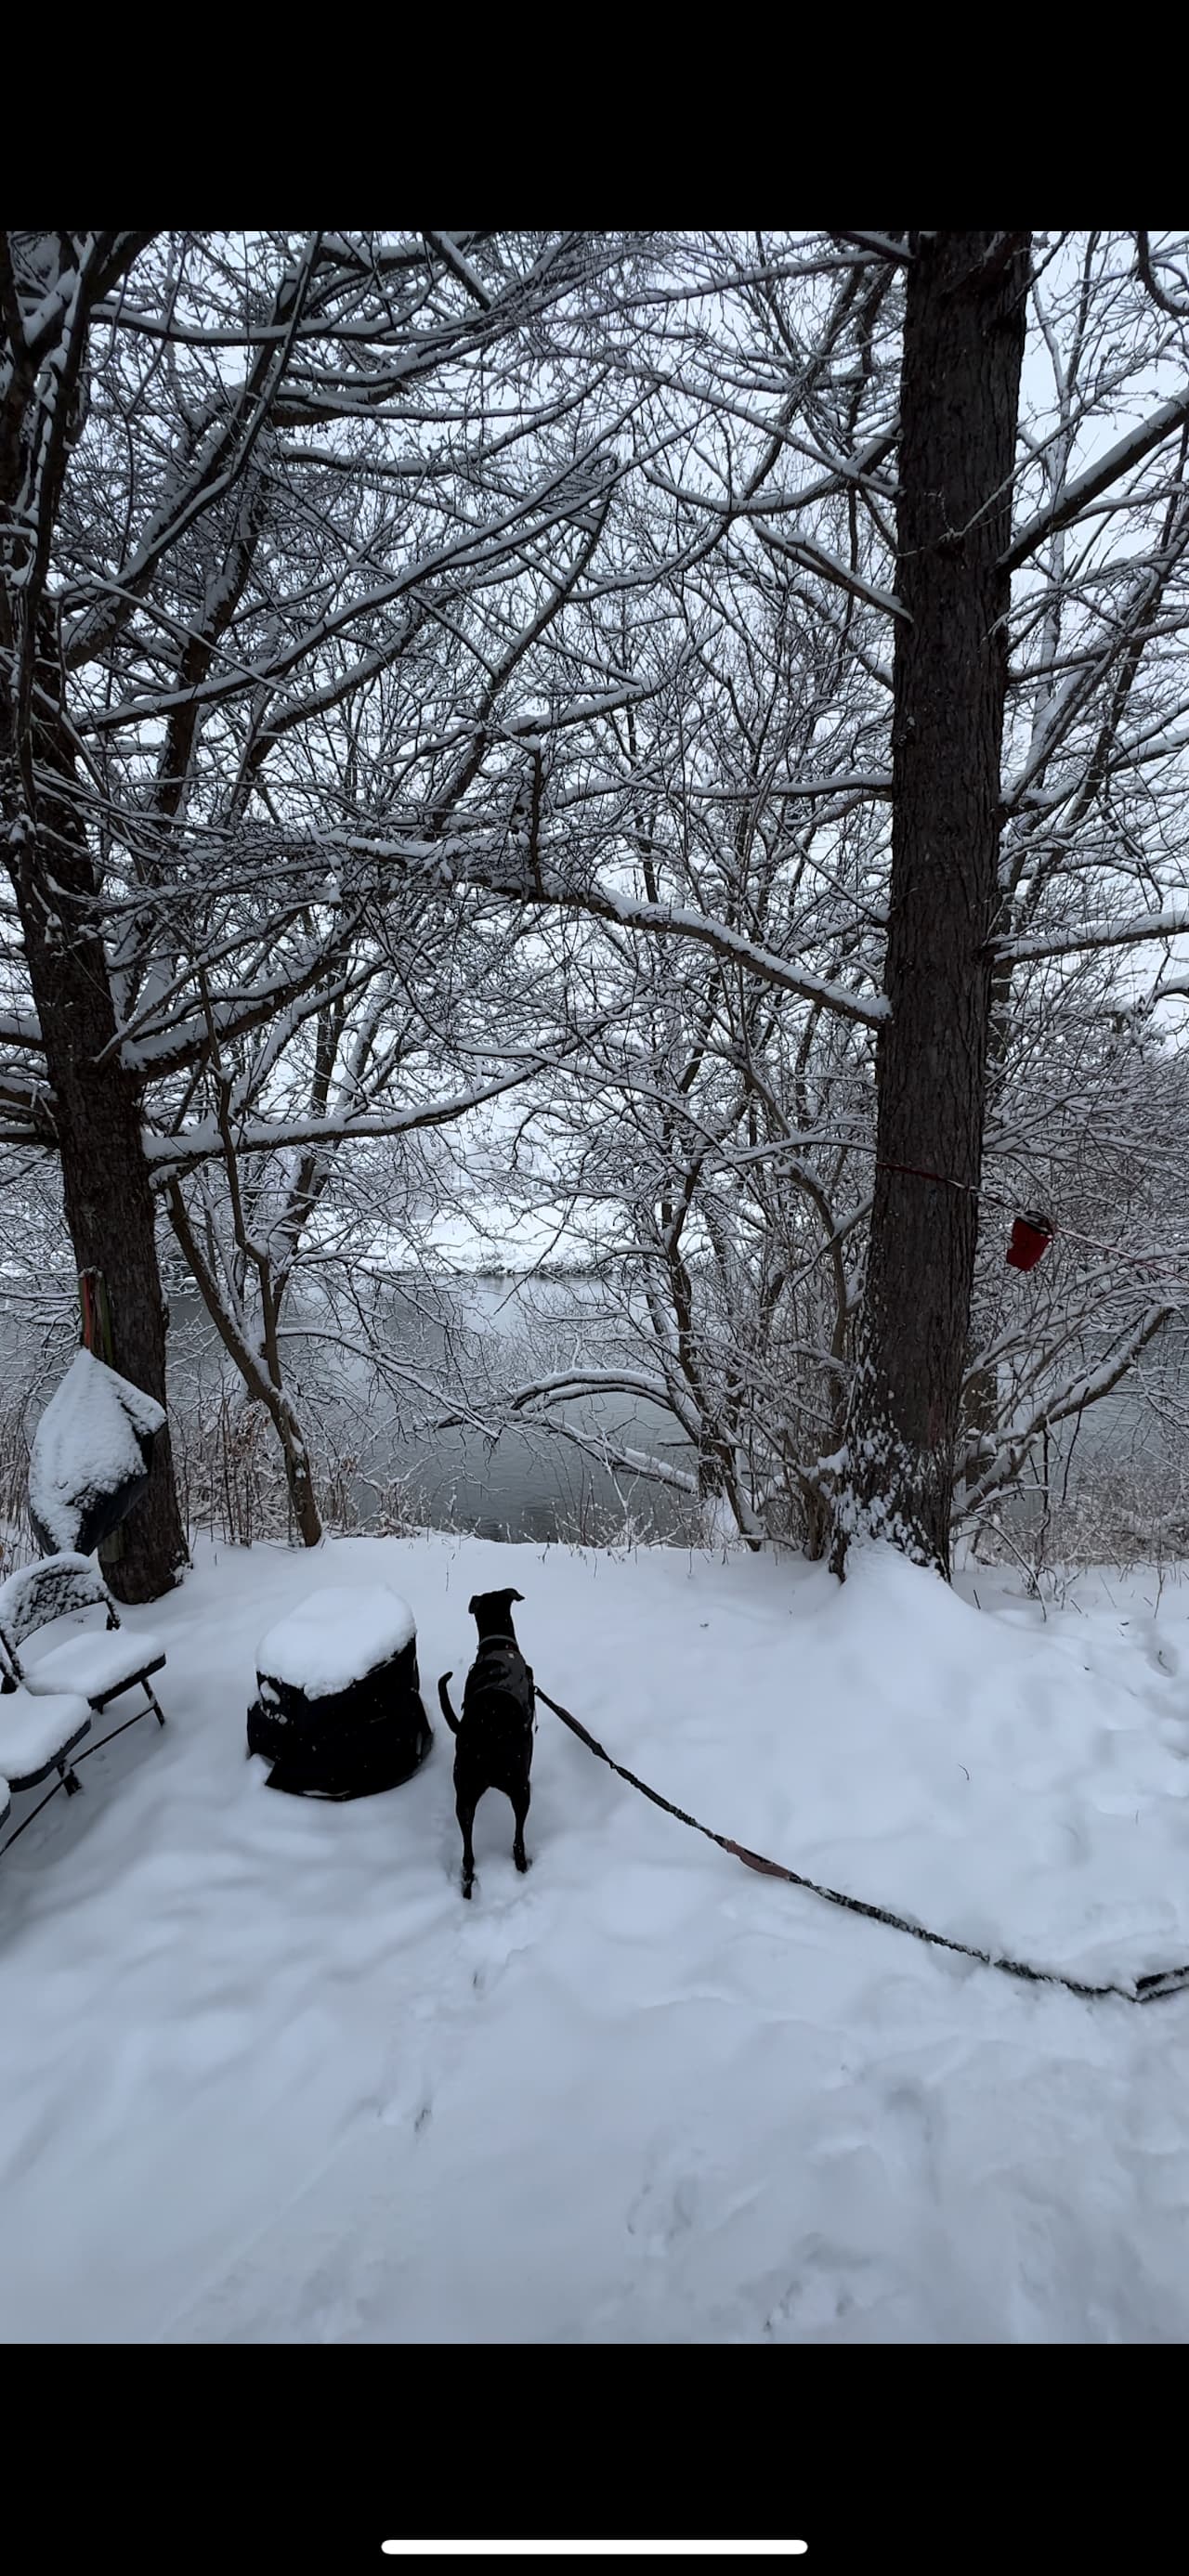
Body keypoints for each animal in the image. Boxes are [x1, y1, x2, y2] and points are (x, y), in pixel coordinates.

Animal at [438, 1586, 536, 1895]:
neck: (499, 1645)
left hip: (464, 1793)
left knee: (468, 1855)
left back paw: (468, 1885)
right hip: (521, 1787)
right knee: (517, 1839)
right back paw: (522, 1865)